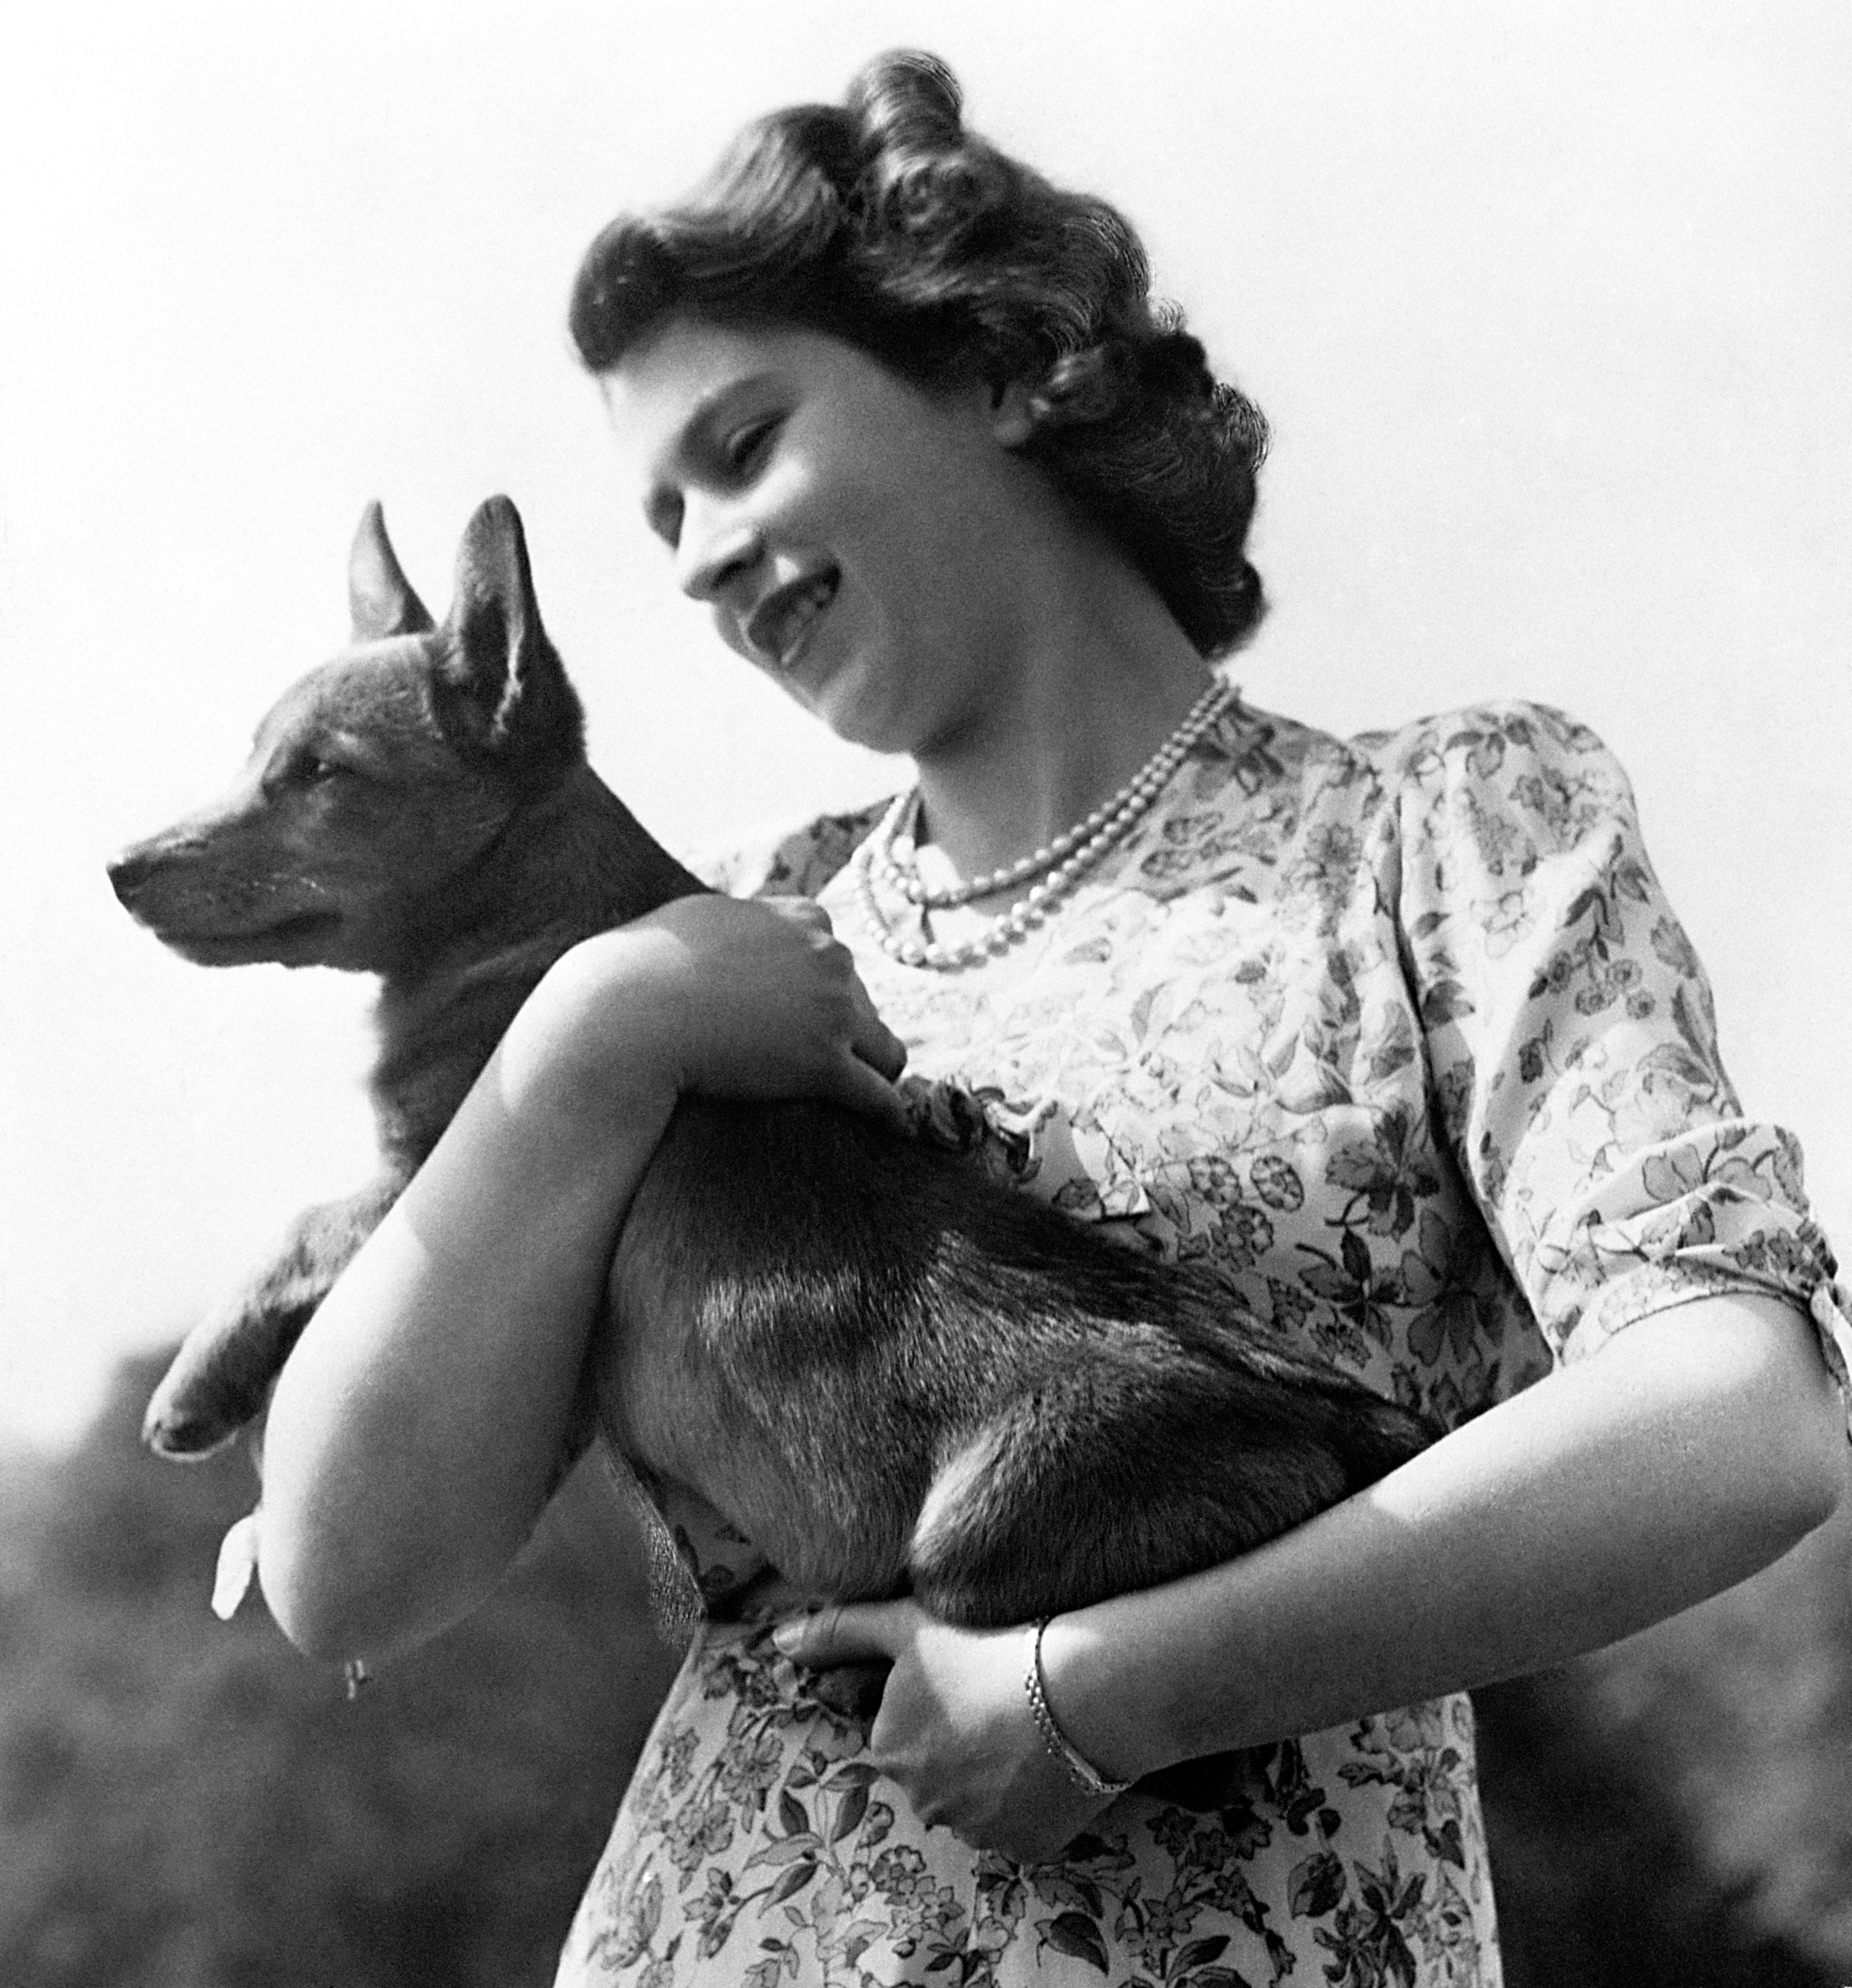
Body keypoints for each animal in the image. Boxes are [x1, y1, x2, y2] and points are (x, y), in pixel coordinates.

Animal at [108, 497, 1431, 1726]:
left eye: (318, 773)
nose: (119, 869)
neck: (527, 927)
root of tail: (1355, 1428)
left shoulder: (420, 1169)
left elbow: (306, 1221)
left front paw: (194, 1383)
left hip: (983, 1528)